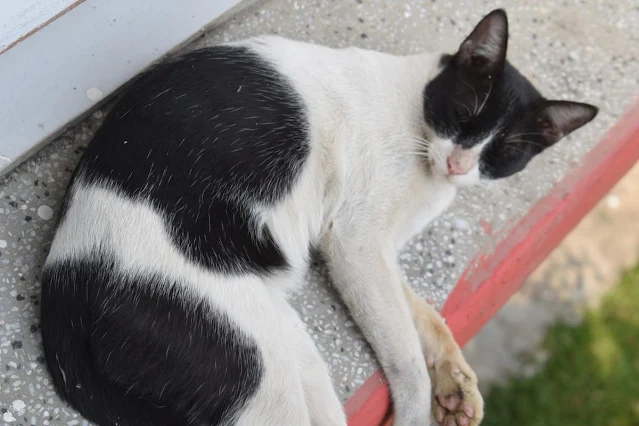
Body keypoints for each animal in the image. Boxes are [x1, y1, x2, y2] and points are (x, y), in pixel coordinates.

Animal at [42, 7, 596, 426]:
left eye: (504, 153)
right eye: (465, 114)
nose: (460, 164)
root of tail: (64, 287)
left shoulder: (377, 254)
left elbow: (425, 317)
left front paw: (455, 382)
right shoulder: (356, 244)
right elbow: (405, 352)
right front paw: (420, 407)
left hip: (285, 346)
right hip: (261, 376)